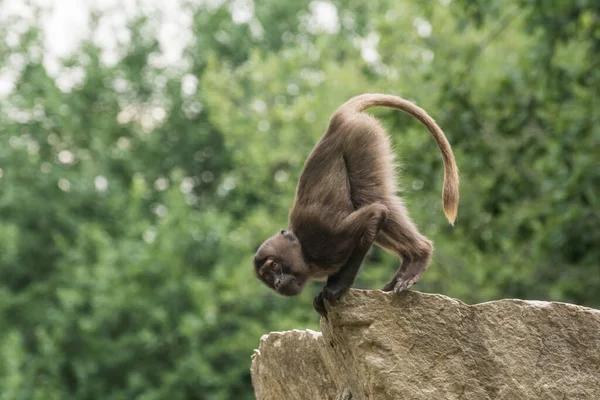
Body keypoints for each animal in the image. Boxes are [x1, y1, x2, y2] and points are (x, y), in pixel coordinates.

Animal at [251, 93, 458, 316]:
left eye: (274, 266)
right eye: (267, 276)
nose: (278, 283)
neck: (303, 250)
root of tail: (338, 120)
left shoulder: (325, 238)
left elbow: (375, 212)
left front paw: (336, 289)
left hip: (361, 136)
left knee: (372, 197)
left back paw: (420, 255)